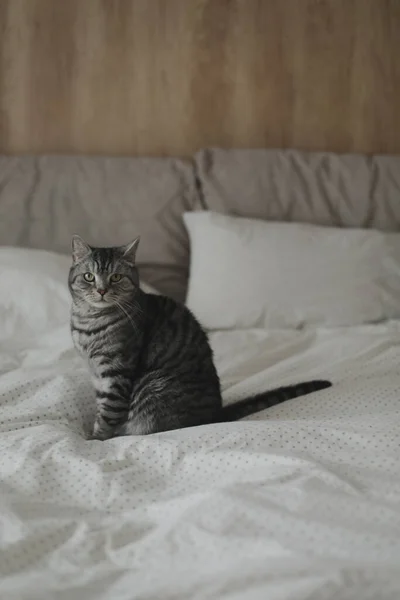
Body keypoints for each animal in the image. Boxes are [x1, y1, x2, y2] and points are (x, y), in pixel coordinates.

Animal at [69, 236, 332, 440]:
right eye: (89, 276)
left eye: (115, 277)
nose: (101, 290)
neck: (88, 321)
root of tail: (216, 413)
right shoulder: (98, 375)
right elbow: (102, 406)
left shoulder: (116, 371)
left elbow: (109, 412)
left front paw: (96, 438)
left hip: (153, 388)